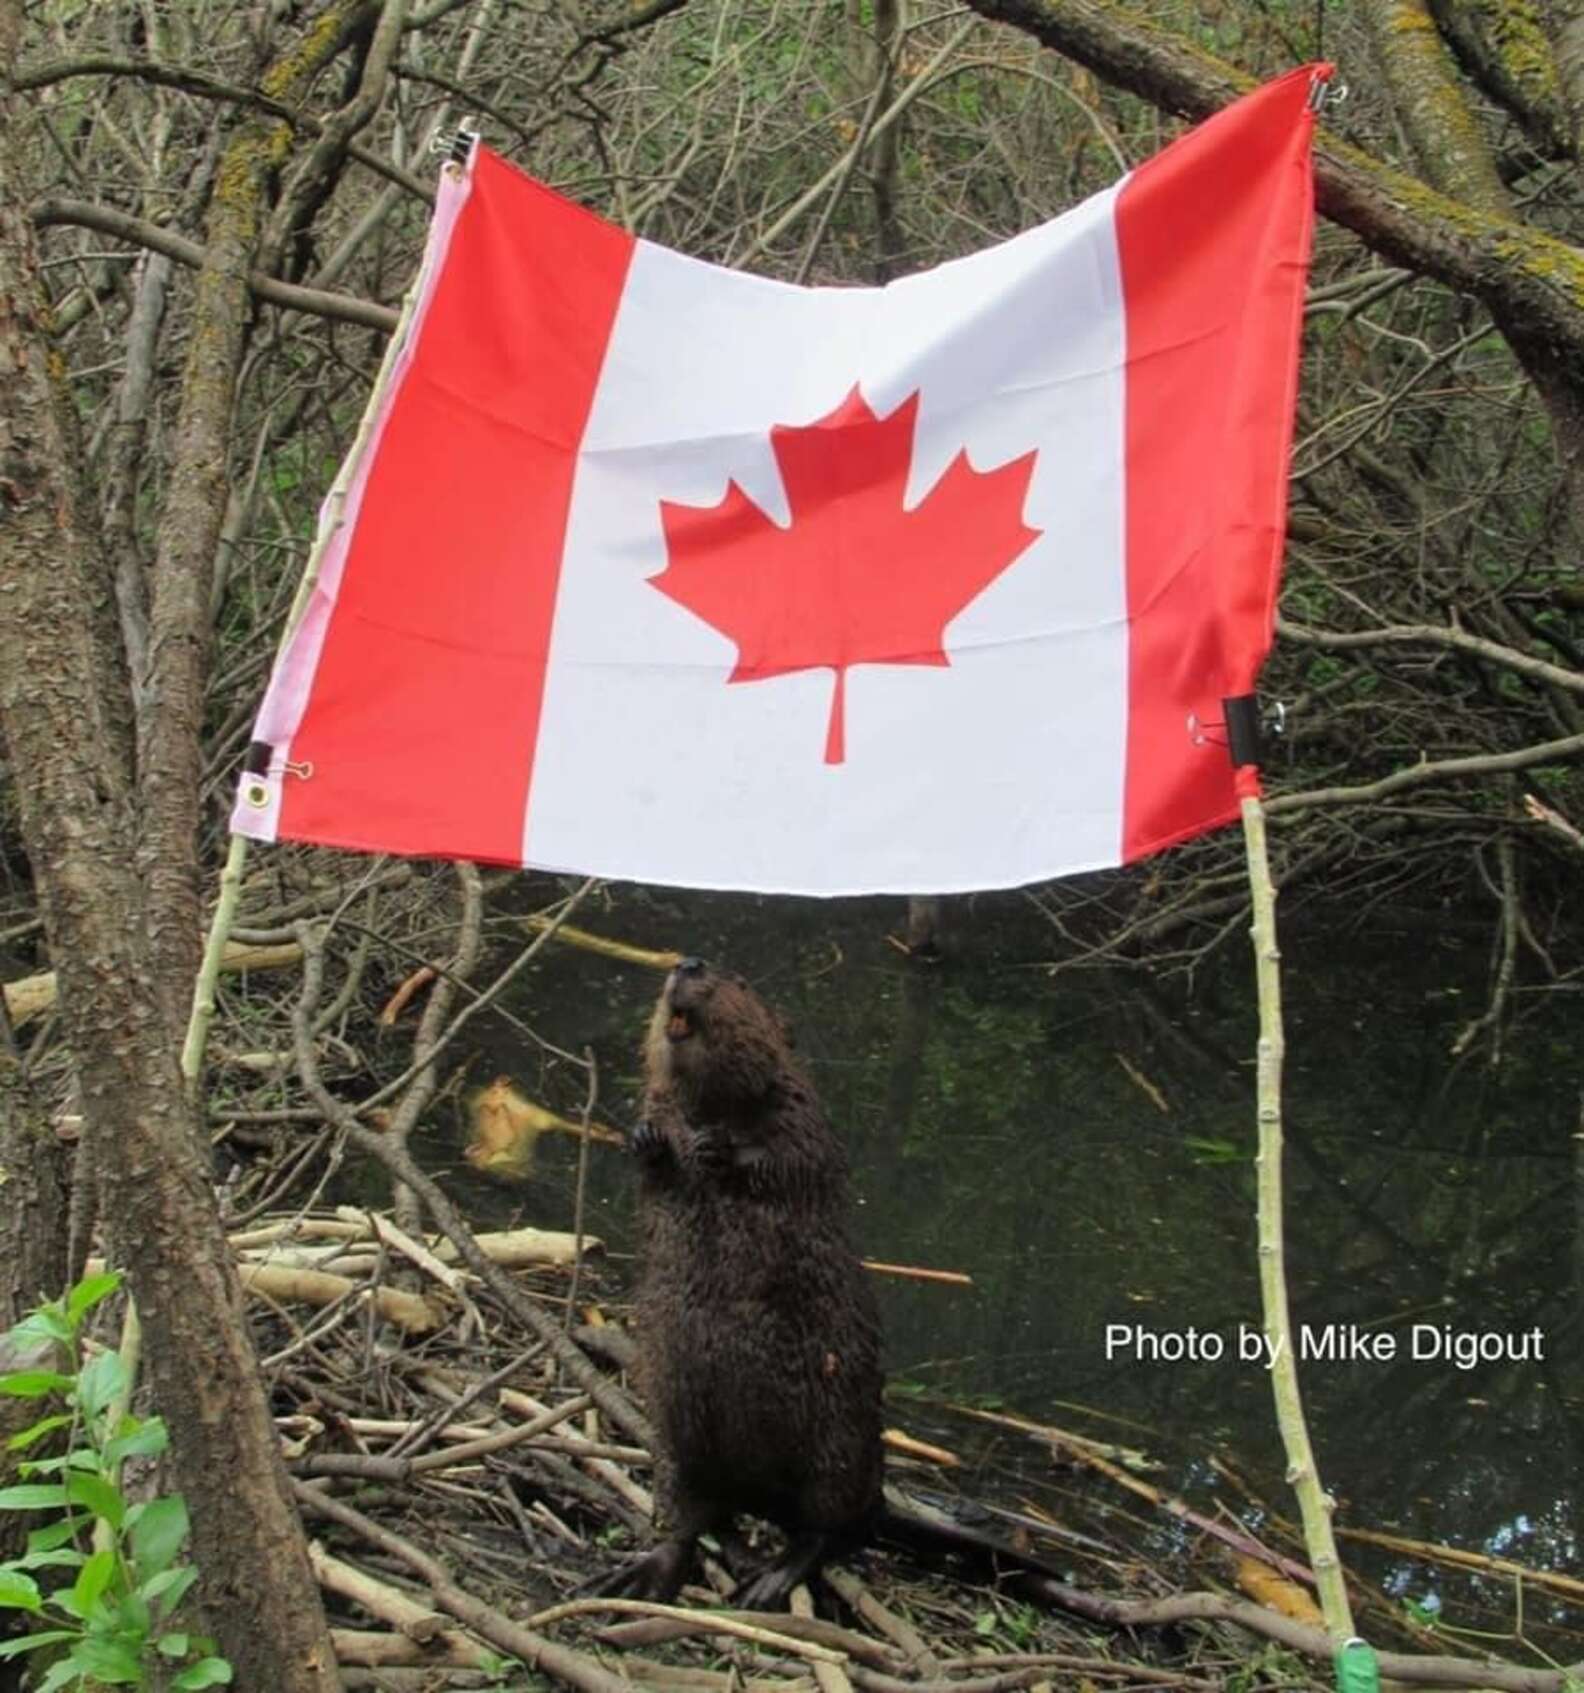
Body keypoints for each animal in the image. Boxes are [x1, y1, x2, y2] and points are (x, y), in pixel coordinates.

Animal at [602, 961, 886, 1604]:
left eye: (738, 980)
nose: (686, 964)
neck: (711, 1104)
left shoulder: (802, 1112)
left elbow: (796, 1159)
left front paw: (721, 1150)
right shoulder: (662, 1099)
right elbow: (654, 1169)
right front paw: (649, 1140)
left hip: (838, 1438)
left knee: (825, 1527)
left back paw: (769, 1580)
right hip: (676, 1438)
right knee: (691, 1517)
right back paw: (642, 1574)